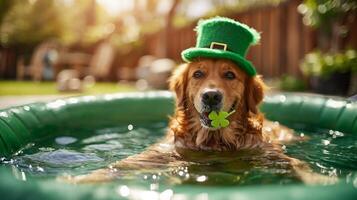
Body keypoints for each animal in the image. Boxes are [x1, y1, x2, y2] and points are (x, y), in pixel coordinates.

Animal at [64, 57, 336, 184]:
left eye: (230, 75)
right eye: (198, 74)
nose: (211, 96)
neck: (215, 142)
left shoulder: (268, 153)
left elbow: (297, 164)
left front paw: (321, 180)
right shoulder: (166, 151)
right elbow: (121, 165)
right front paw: (81, 179)